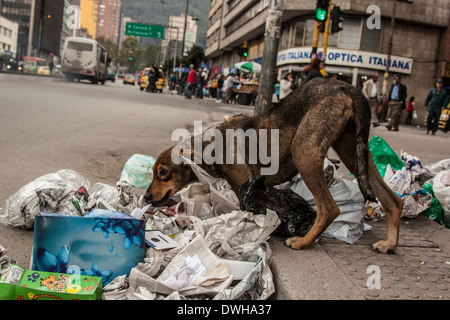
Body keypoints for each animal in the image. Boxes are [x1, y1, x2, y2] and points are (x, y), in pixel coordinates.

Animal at [144, 77, 404, 252]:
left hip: (304, 151)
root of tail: (346, 86)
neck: (212, 148)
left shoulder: (245, 190)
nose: (146, 197)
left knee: (330, 208)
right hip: (353, 151)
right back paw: (389, 243)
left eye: (163, 173)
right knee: (393, 200)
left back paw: (303, 241)